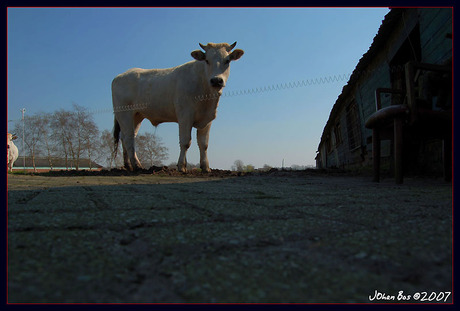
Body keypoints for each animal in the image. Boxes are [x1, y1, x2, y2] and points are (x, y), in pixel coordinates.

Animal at [112, 40, 244, 173]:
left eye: (227, 60)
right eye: (207, 60)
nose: (216, 80)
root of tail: (121, 75)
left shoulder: (207, 119)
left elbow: (204, 144)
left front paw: (206, 167)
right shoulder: (185, 115)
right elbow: (185, 141)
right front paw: (182, 166)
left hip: (137, 116)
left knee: (125, 137)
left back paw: (128, 165)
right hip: (124, 114)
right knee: (129, 138)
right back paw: (137, 165)